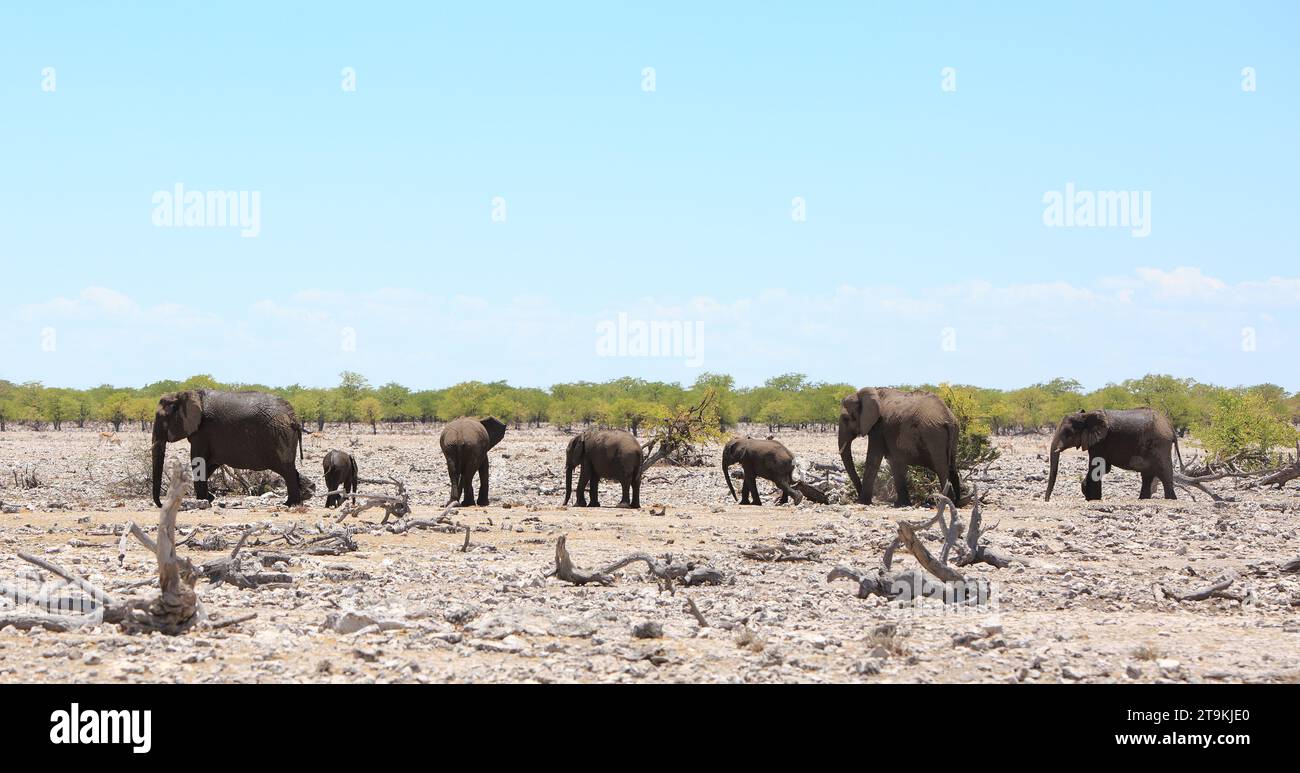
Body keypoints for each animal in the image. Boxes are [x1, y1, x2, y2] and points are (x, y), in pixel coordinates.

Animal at [151, 392, 306, 509]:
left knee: (287, 471)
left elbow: (198, 462)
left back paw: (291, 504)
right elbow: (209, 465)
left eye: (162, 419)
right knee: (290, 469)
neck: (185, 394)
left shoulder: (202, 432)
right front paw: (209, 499)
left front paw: (203, 501)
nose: (161, 505)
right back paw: (296, 500)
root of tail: (293, 417)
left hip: (280, 434)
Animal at [1040, 405, 1185, 501]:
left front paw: (1094, 499)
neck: (1086, 416)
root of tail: (1170, 426)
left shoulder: (1101, 441)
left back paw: (1171, 499)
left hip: (1160, 444)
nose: (1047, 500)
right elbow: (1104, 468)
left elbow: (1097, 466)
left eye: (1067, 432)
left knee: (1163, 472)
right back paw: (1143, 499)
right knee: (1147, 475)